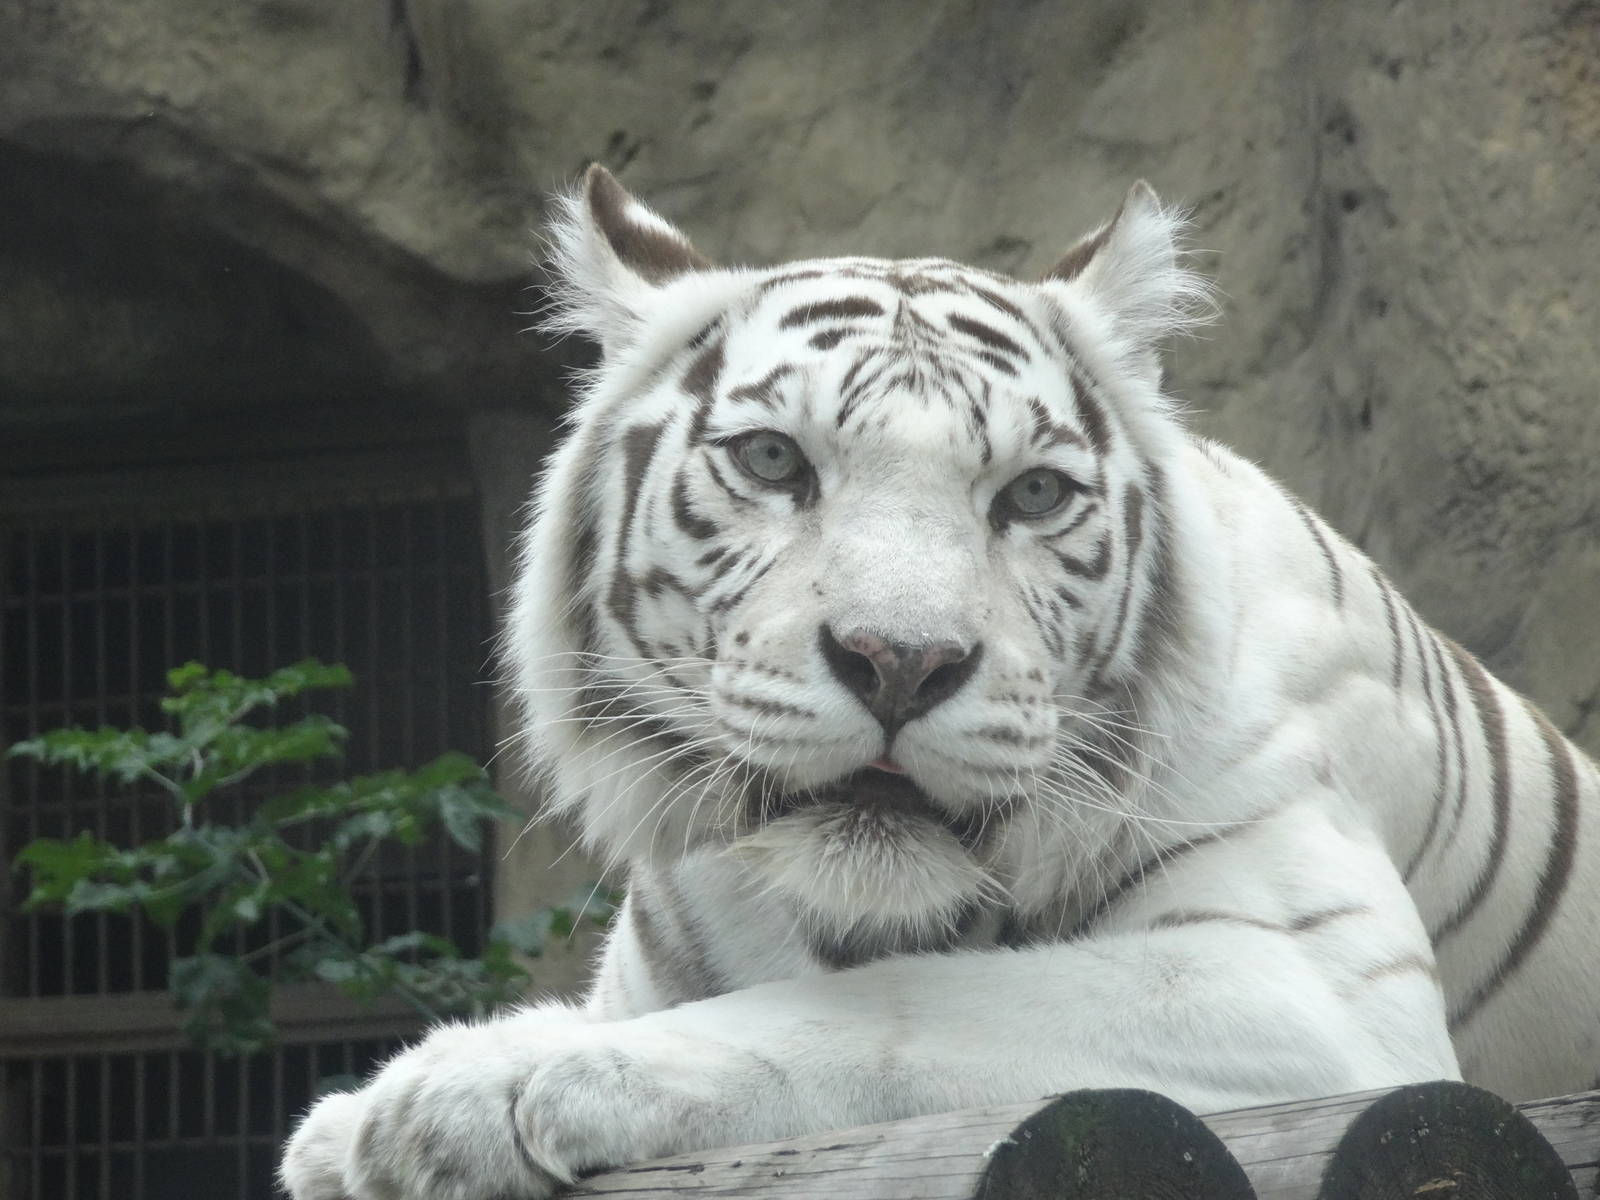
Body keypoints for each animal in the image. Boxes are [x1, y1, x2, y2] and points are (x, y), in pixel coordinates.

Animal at [281, 164, 1600, 1200]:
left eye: (1034, 492)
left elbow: (908, 1001)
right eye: (774, 460)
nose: (900, 662)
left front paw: (495, 1083)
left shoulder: (1312, 992)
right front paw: (366, 1128)